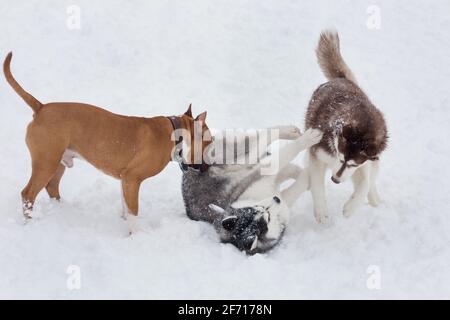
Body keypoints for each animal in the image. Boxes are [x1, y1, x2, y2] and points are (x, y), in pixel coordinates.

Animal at [3, 52, 212, 232]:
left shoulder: (125, 181)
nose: (207, 167)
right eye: (211, 143)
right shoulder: (132, 179)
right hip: (46, 162)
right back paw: (30, 222)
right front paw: (135, 236)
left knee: (51, 187)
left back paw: (63, 211)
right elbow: (133, 213)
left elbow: (126, 207)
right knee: (28, 194)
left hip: (57, 162)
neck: (176, 131)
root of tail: (41, 108)